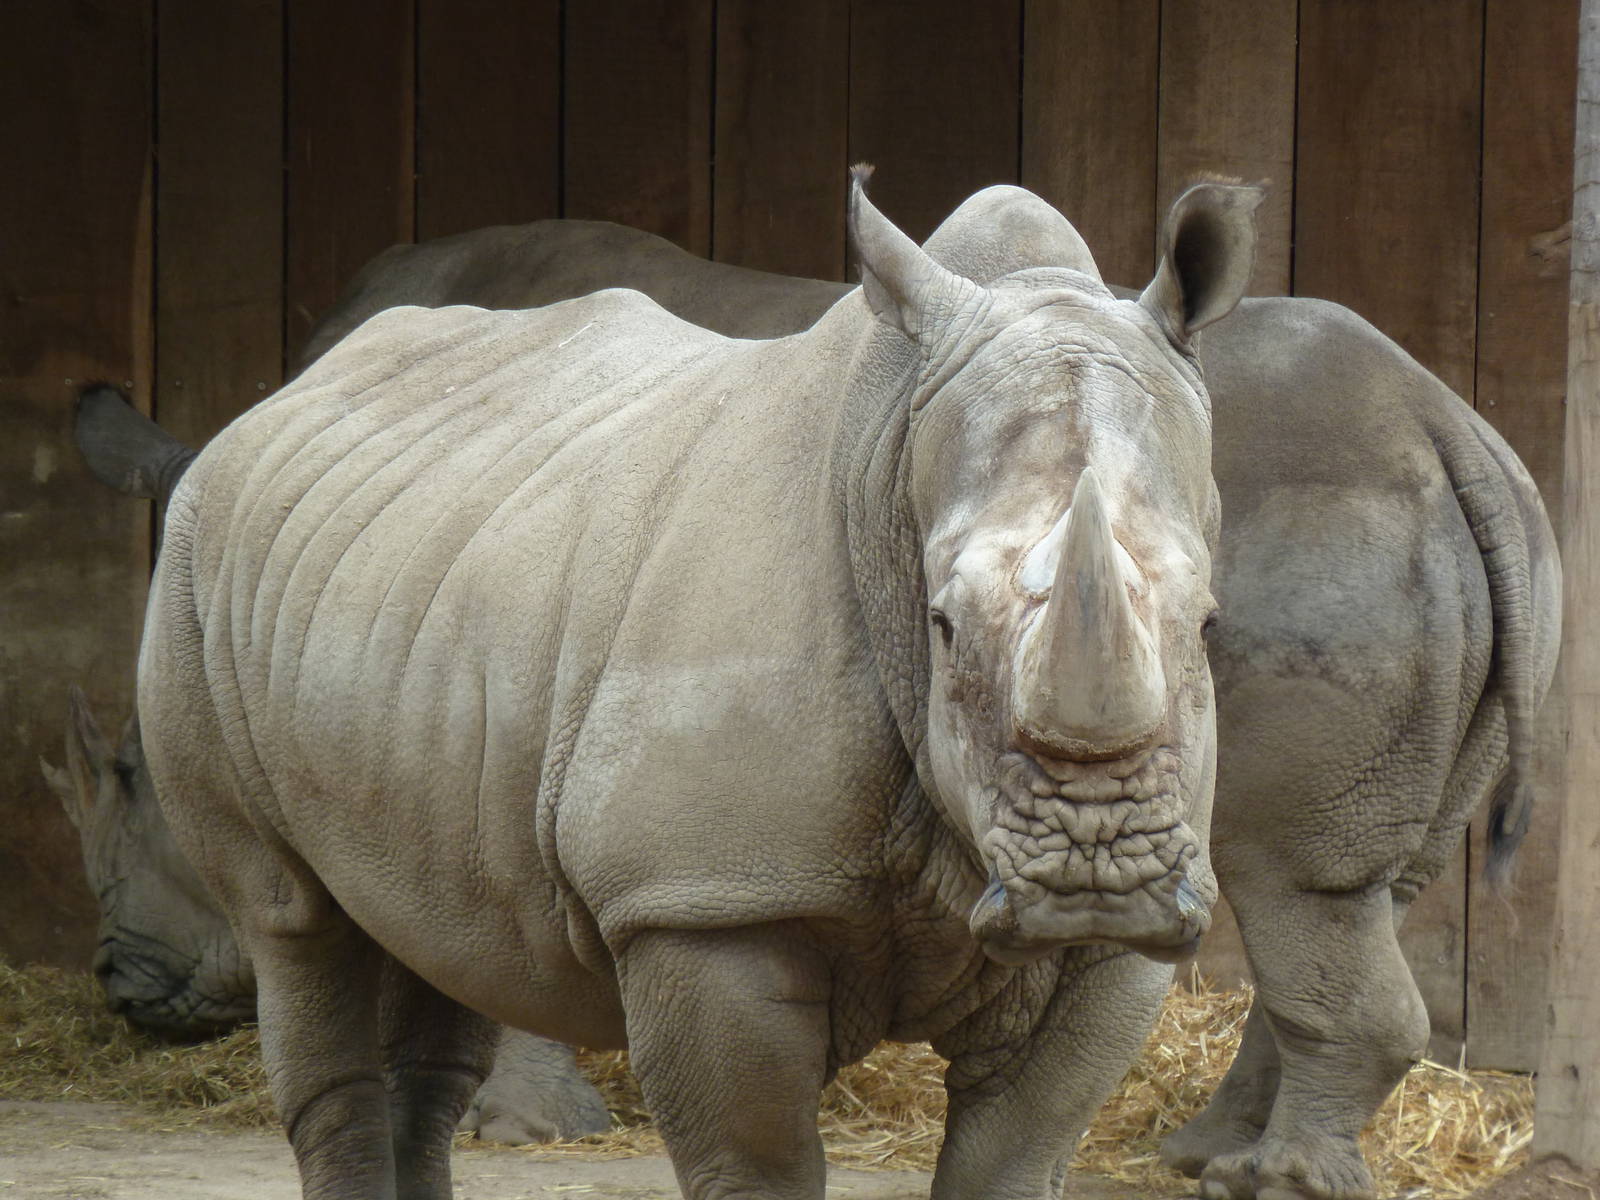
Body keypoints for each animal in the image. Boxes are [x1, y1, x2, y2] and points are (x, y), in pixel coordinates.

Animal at [65, 183, 1557, 1200]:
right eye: (940, 626)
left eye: (1206, 623)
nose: (122, 983)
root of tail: (1453, 422)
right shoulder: (691, 887)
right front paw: (544, 1132)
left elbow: (1015, 1158)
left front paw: (535, 1130)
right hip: (265, 575)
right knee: (308, 912)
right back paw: (1230, 1163)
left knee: (1305, 885)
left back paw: (1251, 1175)